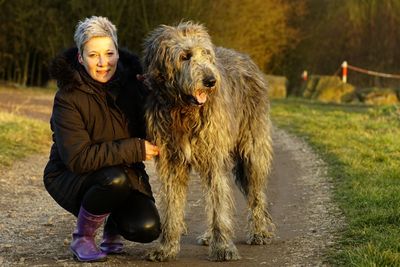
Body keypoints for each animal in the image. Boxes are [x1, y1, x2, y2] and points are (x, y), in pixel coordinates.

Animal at [142, 22, 274, 262]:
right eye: (184, 56)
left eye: (206, 54)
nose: (211, 81)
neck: (184, 111)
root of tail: (245, 57)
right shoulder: (171, 160)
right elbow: (172, 206)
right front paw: (166, 248)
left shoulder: (213, 155)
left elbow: (219, 205)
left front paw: (223, 247)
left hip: (253, 149)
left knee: (256, 193)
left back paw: (259, 231)